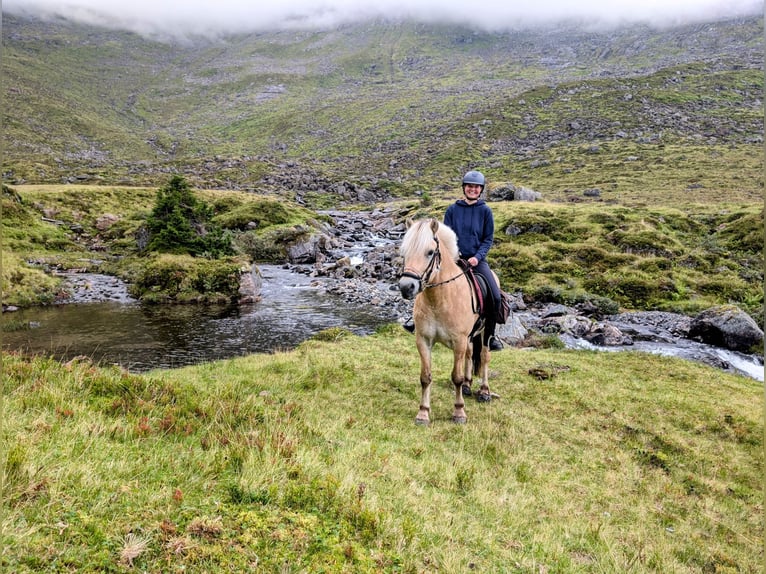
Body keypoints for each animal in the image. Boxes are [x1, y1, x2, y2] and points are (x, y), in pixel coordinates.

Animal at [400, 218, 496, 426]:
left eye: (430, 252)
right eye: (403, 252)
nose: (406, 287)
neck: (439, 299)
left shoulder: (458, 341)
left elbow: (456, 377)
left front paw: (459, 412)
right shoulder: (423, 340)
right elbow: (425, 377)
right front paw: (423, 413)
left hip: (487, 330)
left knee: (484, 356)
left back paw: (484, 391)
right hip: (470, 337)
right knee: (470, 354)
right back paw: (468, 385)